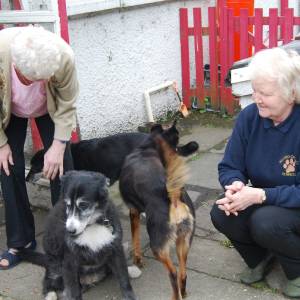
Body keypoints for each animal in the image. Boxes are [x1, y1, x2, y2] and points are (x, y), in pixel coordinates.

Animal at [21, 171, 137, 300]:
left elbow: (123, 276)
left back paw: (131, 270)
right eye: (67, 205)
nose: (70, 231)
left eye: (83, 205)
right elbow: (73, 290)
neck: (91, 225)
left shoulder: (115, 248)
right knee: (49, 280)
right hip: (55, 263)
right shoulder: (70, 260)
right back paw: (50, 294)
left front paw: (129, 294)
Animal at [118, 122, 196, 300]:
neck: (146, 148)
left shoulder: (133, 211)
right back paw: (183, 292)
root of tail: (173, 198)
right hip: (184, 241)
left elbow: (135, 239)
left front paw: (138, 260)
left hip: (157, 247)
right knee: (183, 273)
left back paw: (175, 296)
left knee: (173, 273)